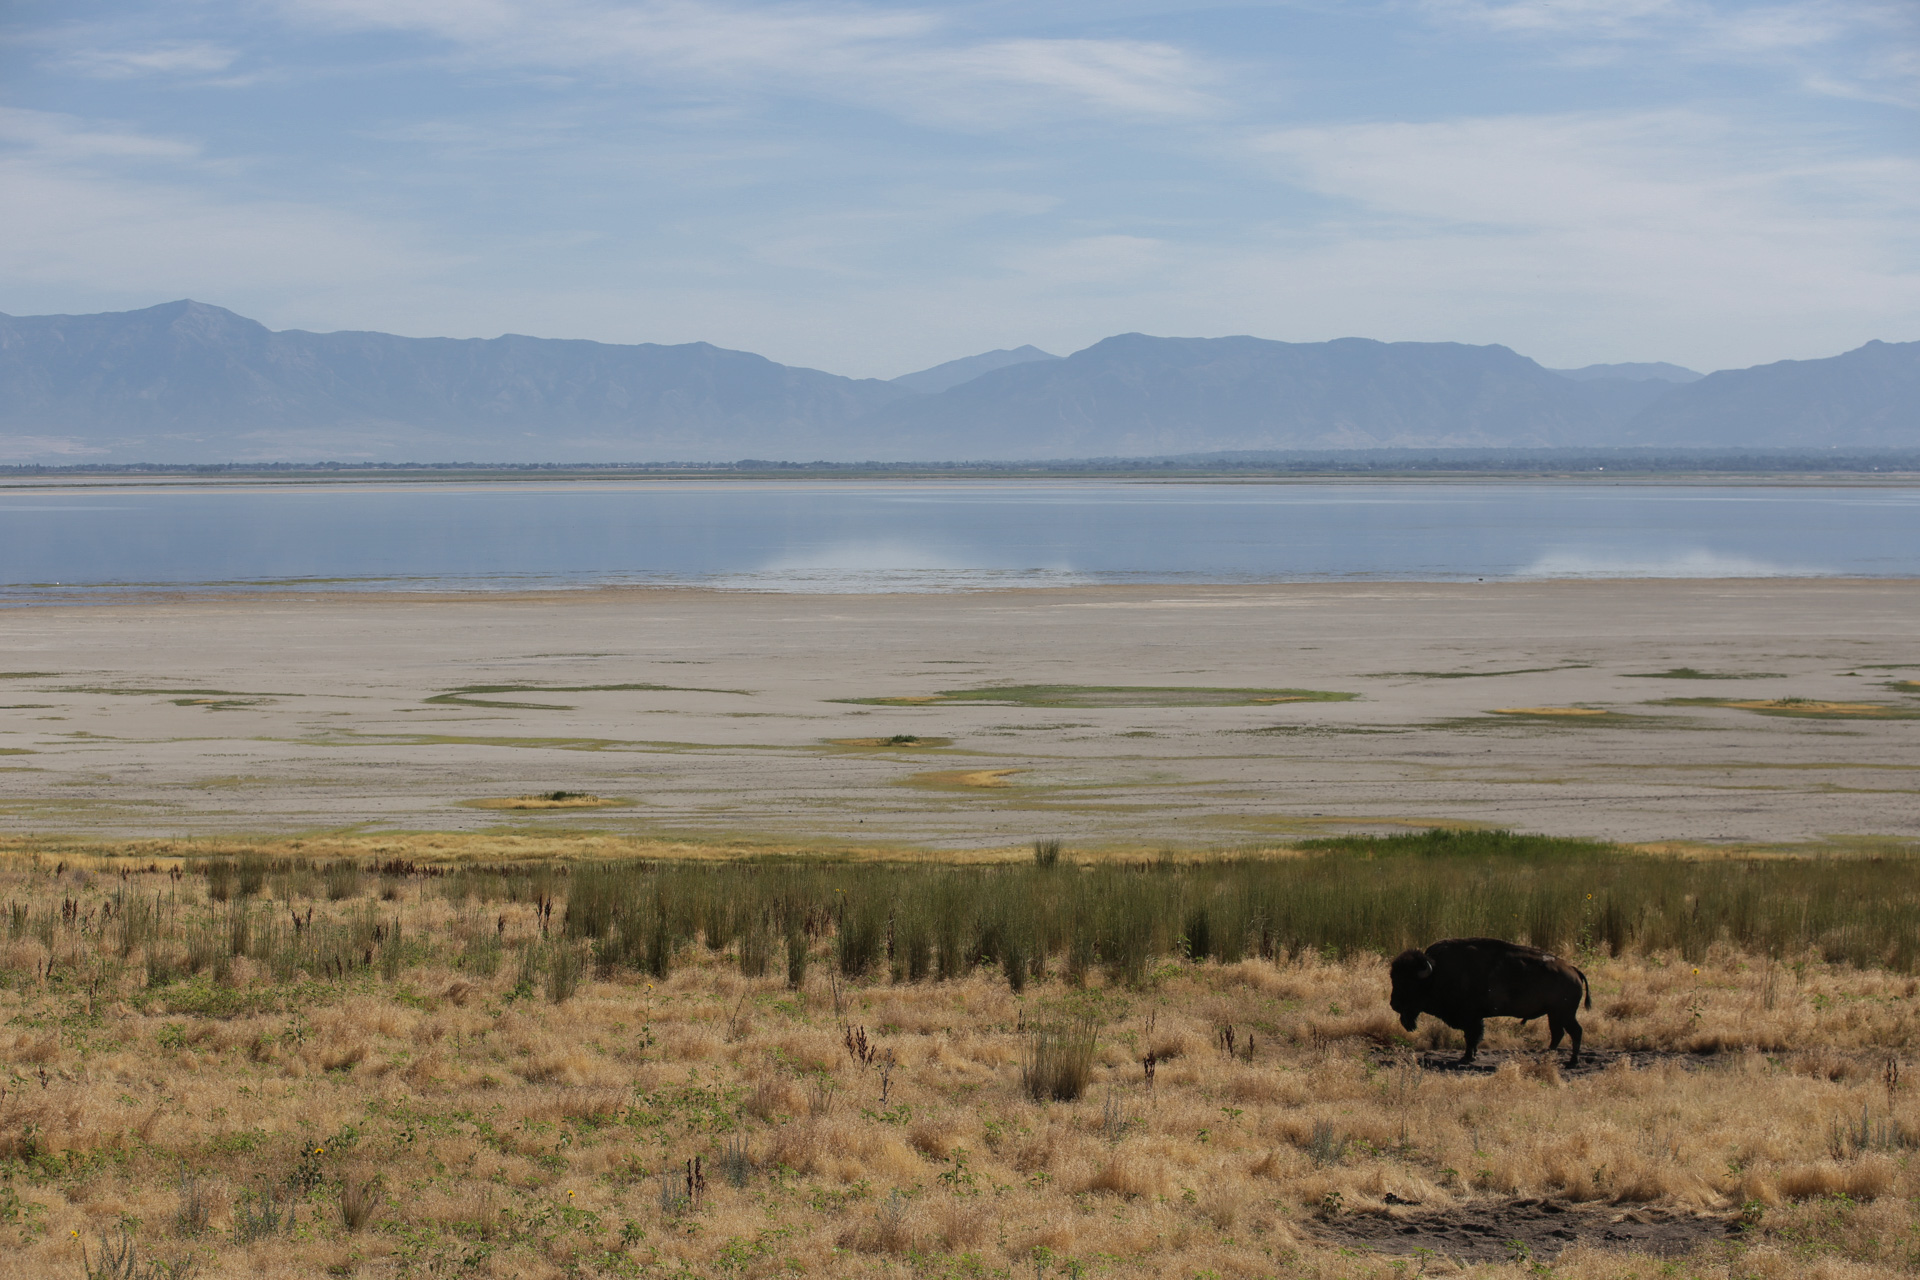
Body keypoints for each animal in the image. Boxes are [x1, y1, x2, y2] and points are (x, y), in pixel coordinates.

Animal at [1397, 936, 1589, 1066]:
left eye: (1410, 983)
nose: (1394, 1004)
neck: (1436, 973)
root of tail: (1574, 970)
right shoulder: (1475, 1018)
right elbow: (1475, 1037)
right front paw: (1472, 1055)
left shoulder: (1470, 1017)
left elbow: (1471, 1036)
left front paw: (1466, 1057)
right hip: (1555, 1015)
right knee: (1560, 1033)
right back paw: (1549, 1056)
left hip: (1563, 1014)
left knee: (1574, 1032)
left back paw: (1570, 1061)